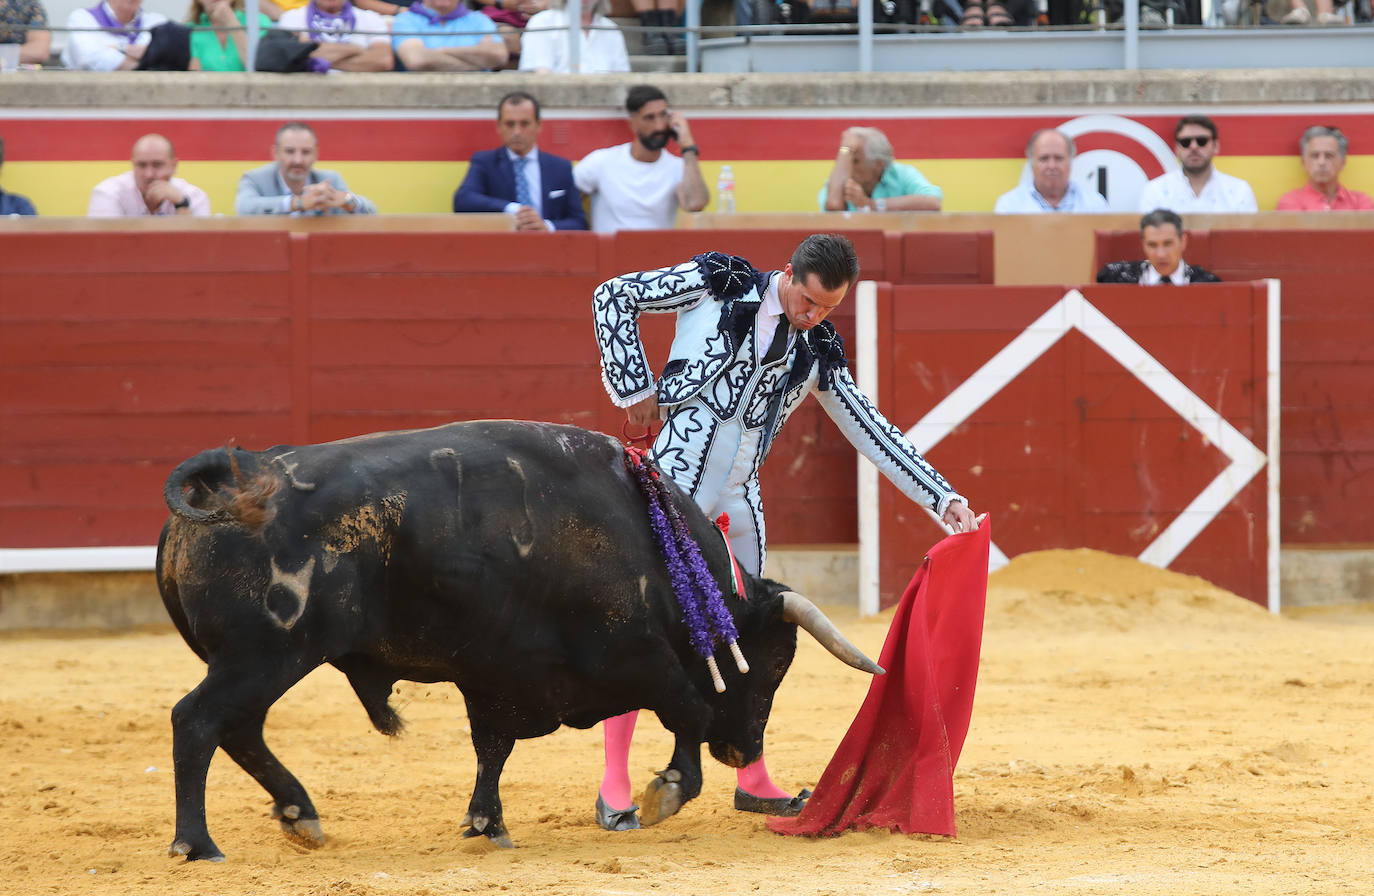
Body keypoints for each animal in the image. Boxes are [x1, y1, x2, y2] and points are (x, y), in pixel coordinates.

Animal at [158, 420, 879, 863]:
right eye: (772, 665)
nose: (744, 751)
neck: (649, 542)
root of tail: (236, 476)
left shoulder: (499, 676)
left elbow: (492, 749)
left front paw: (486, 823)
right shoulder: (635, 654)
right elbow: (690, 709)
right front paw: (667, 791)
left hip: (261, 661)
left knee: (239, 730)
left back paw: (299, 814)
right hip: (267, 655)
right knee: (197, 720)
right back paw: (197, 843)